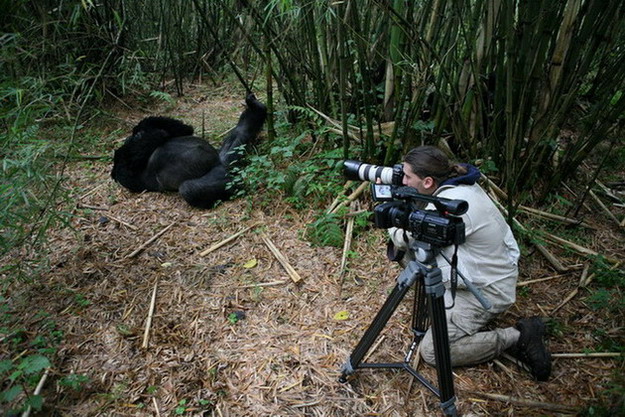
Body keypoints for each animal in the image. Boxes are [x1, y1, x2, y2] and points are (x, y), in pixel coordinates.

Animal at [111, 92, 266, 206]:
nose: (132, 137)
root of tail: (223, 165)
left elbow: (183, 129)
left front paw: (143, 129)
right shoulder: (124, 172)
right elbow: (128, 165)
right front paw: (145, 135)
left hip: (226, 156)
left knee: (241, 132)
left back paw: (256, 108)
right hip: (221, 172)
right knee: (190, 190)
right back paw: (238, 186)